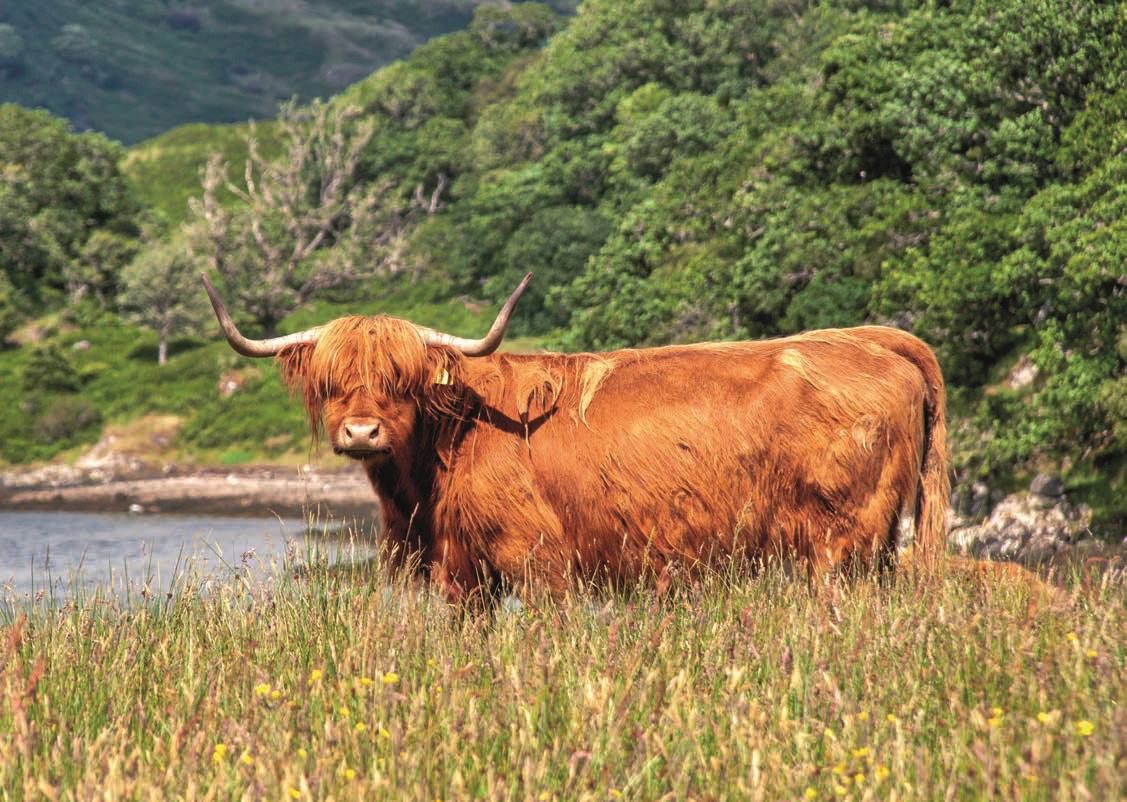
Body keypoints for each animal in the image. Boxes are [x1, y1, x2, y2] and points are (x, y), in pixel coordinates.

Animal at [202, 272, 951, 599]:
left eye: (404, 379)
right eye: (332, 381)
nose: (362, 430)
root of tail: (872, 340)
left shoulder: (537, 557)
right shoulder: (460, 571)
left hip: (841, 540)